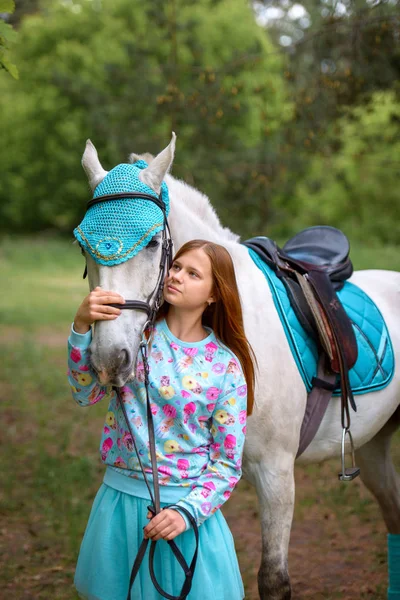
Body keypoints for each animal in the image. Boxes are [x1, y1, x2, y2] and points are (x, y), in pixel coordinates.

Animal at [79, 134, 400, 596]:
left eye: (154, 242)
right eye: (82, 245)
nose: (108, 359)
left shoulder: (277, 473)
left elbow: (273, 579)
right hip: (375, 442)